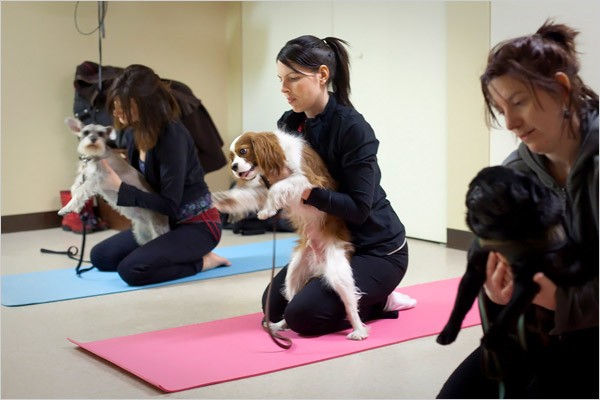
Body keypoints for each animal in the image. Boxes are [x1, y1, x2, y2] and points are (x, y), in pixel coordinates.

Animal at [59, 117, 169, 245]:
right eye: (86, 132)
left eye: (101, 133)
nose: (93, 139)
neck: (93, 156)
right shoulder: (85, 174)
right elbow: (75, 186)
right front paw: (75, 201)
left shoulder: (97, 177)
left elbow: (81, 190)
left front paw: (67, 207)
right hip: (142, 233)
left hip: (158, 227)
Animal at [211, 130, 370, 340]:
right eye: (232, 157)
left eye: (243, 151)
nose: (234, 167)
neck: (280, 156)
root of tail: (319, 264)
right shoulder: (263, 189)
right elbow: (248, 195)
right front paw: (223, 200)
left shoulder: (308, 179)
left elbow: (278, 187)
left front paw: (266, 212)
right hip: (293, 273)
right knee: (290, 303)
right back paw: (280, 325)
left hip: (338, 273)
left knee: (350, 304)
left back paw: (359, 330)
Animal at [436, 166, 584, 354]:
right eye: (473, 183)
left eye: (497, 187)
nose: (477, 188)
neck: (499, 235)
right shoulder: (473, 272)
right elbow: (460, 305)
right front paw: (448, 331)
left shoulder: (527, 283)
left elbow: (507, 314)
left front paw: (490, 339)